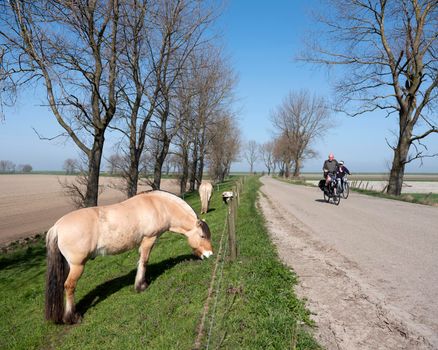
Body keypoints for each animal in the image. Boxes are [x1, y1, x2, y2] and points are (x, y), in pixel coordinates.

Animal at [45, 190, 214, 324]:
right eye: (202, 236)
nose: (209, 255)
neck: (158, 205)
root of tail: (57, 227)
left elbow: (140, 261)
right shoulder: (149, 239)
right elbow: (144, 262)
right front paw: (141, 286)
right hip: (77, 266)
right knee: (69, 286)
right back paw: (71, 318)